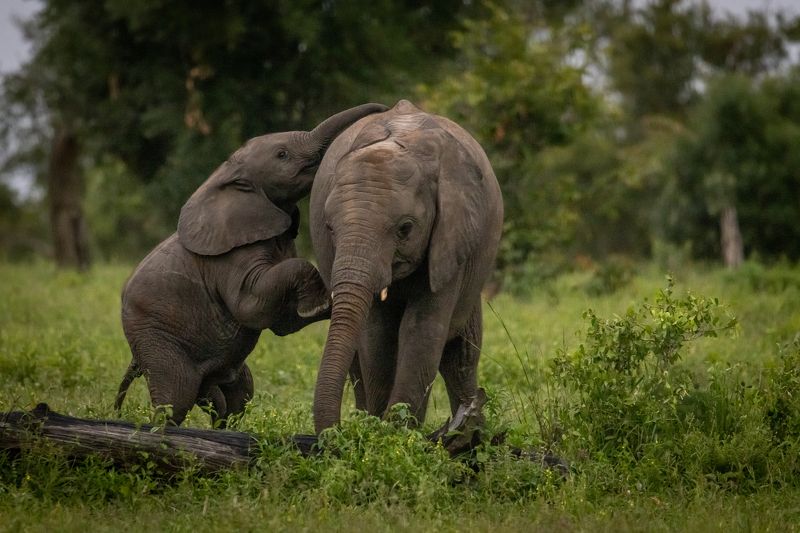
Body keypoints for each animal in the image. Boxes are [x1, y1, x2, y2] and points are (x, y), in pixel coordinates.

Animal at [115, 102, 388, 427]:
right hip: (156, 338)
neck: (229, 174)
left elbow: (283, 322)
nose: (383, 108)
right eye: (282, 154)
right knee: (176, 400)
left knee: (237, 396)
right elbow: (251, 306)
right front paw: (319, 305)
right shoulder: (229, 258)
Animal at [309, 99, 503, 434]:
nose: (336, 432)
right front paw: (379, 431)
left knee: (461, 354)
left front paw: (398, 433)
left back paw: (470, 431)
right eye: (330, 228)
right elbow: (378, 335)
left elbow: (422, 329)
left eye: (405, 228)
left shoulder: (452, 237)